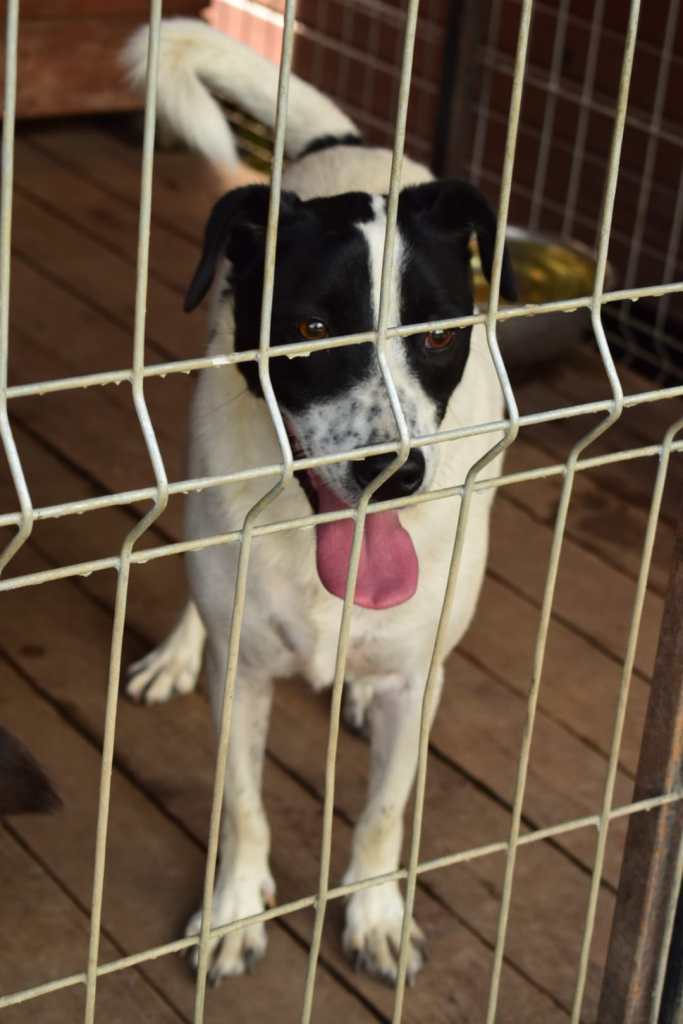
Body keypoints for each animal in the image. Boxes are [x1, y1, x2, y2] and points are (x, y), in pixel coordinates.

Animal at [122, 18, 516, 987]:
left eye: (438, 333)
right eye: (307, 330)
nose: (393, 473)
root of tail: (350, 145)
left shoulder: (418, 683)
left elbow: (383, 814)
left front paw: (375, 916)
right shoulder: (243, 678)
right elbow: (242, 804)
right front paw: (234, 913)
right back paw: (177, 651)